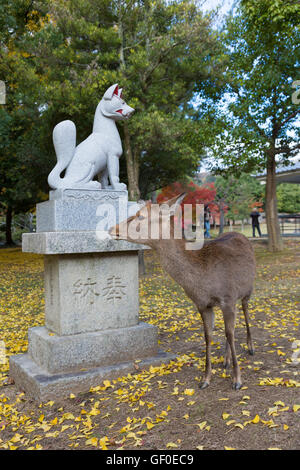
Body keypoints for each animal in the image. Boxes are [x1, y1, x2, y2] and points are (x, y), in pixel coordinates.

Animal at [109, 193, 256, 392]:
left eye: (140, 216)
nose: (112, 228)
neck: (203, 279)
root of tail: (241, 235)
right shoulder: (203, 305)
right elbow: (209, 336)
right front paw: (205, 379)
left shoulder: (228, 297)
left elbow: (230, 334)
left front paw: (237, 380)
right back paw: (225, 361)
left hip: (248, 289)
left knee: (246, 312)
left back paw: (250, 347)